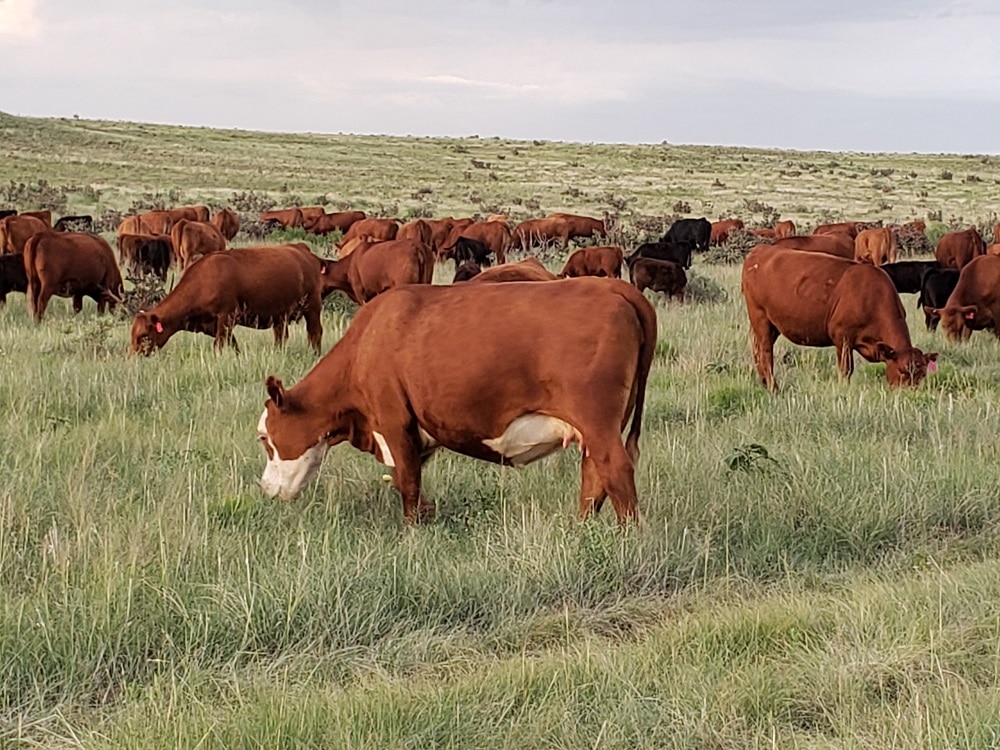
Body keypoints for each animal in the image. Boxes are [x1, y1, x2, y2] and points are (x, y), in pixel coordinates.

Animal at [132, 244, 324, 356]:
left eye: (144, 335)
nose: (133, 356)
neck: (204, 280)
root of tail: (304, 253)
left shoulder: (226, 317)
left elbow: (219, 345)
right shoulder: (213, 326)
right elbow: (233, 344)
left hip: (312, 308)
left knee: (315, 332)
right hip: (280, 318)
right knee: (281, 337)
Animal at [256, 278, 656, 528]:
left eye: (264, 437)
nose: (265, 488)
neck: (368, 341)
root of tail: (612, 285)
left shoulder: (394, 422)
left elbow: (407, 483)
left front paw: (411, 534)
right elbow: (411, 482)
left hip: (598, 421)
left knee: (616, 470)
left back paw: (628, 536)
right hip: (599, 427)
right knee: (594, 477)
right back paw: (581, 529)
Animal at [740, 245, 932, 390]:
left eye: (923, 375)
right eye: (902, 371)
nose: (910, 394)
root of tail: (760, 249)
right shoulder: (842, 337)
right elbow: (846, 369)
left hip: (772, 325)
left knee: (758, 352)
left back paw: (764, 383)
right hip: (760, 319)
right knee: (765, 353)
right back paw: (774, 388)